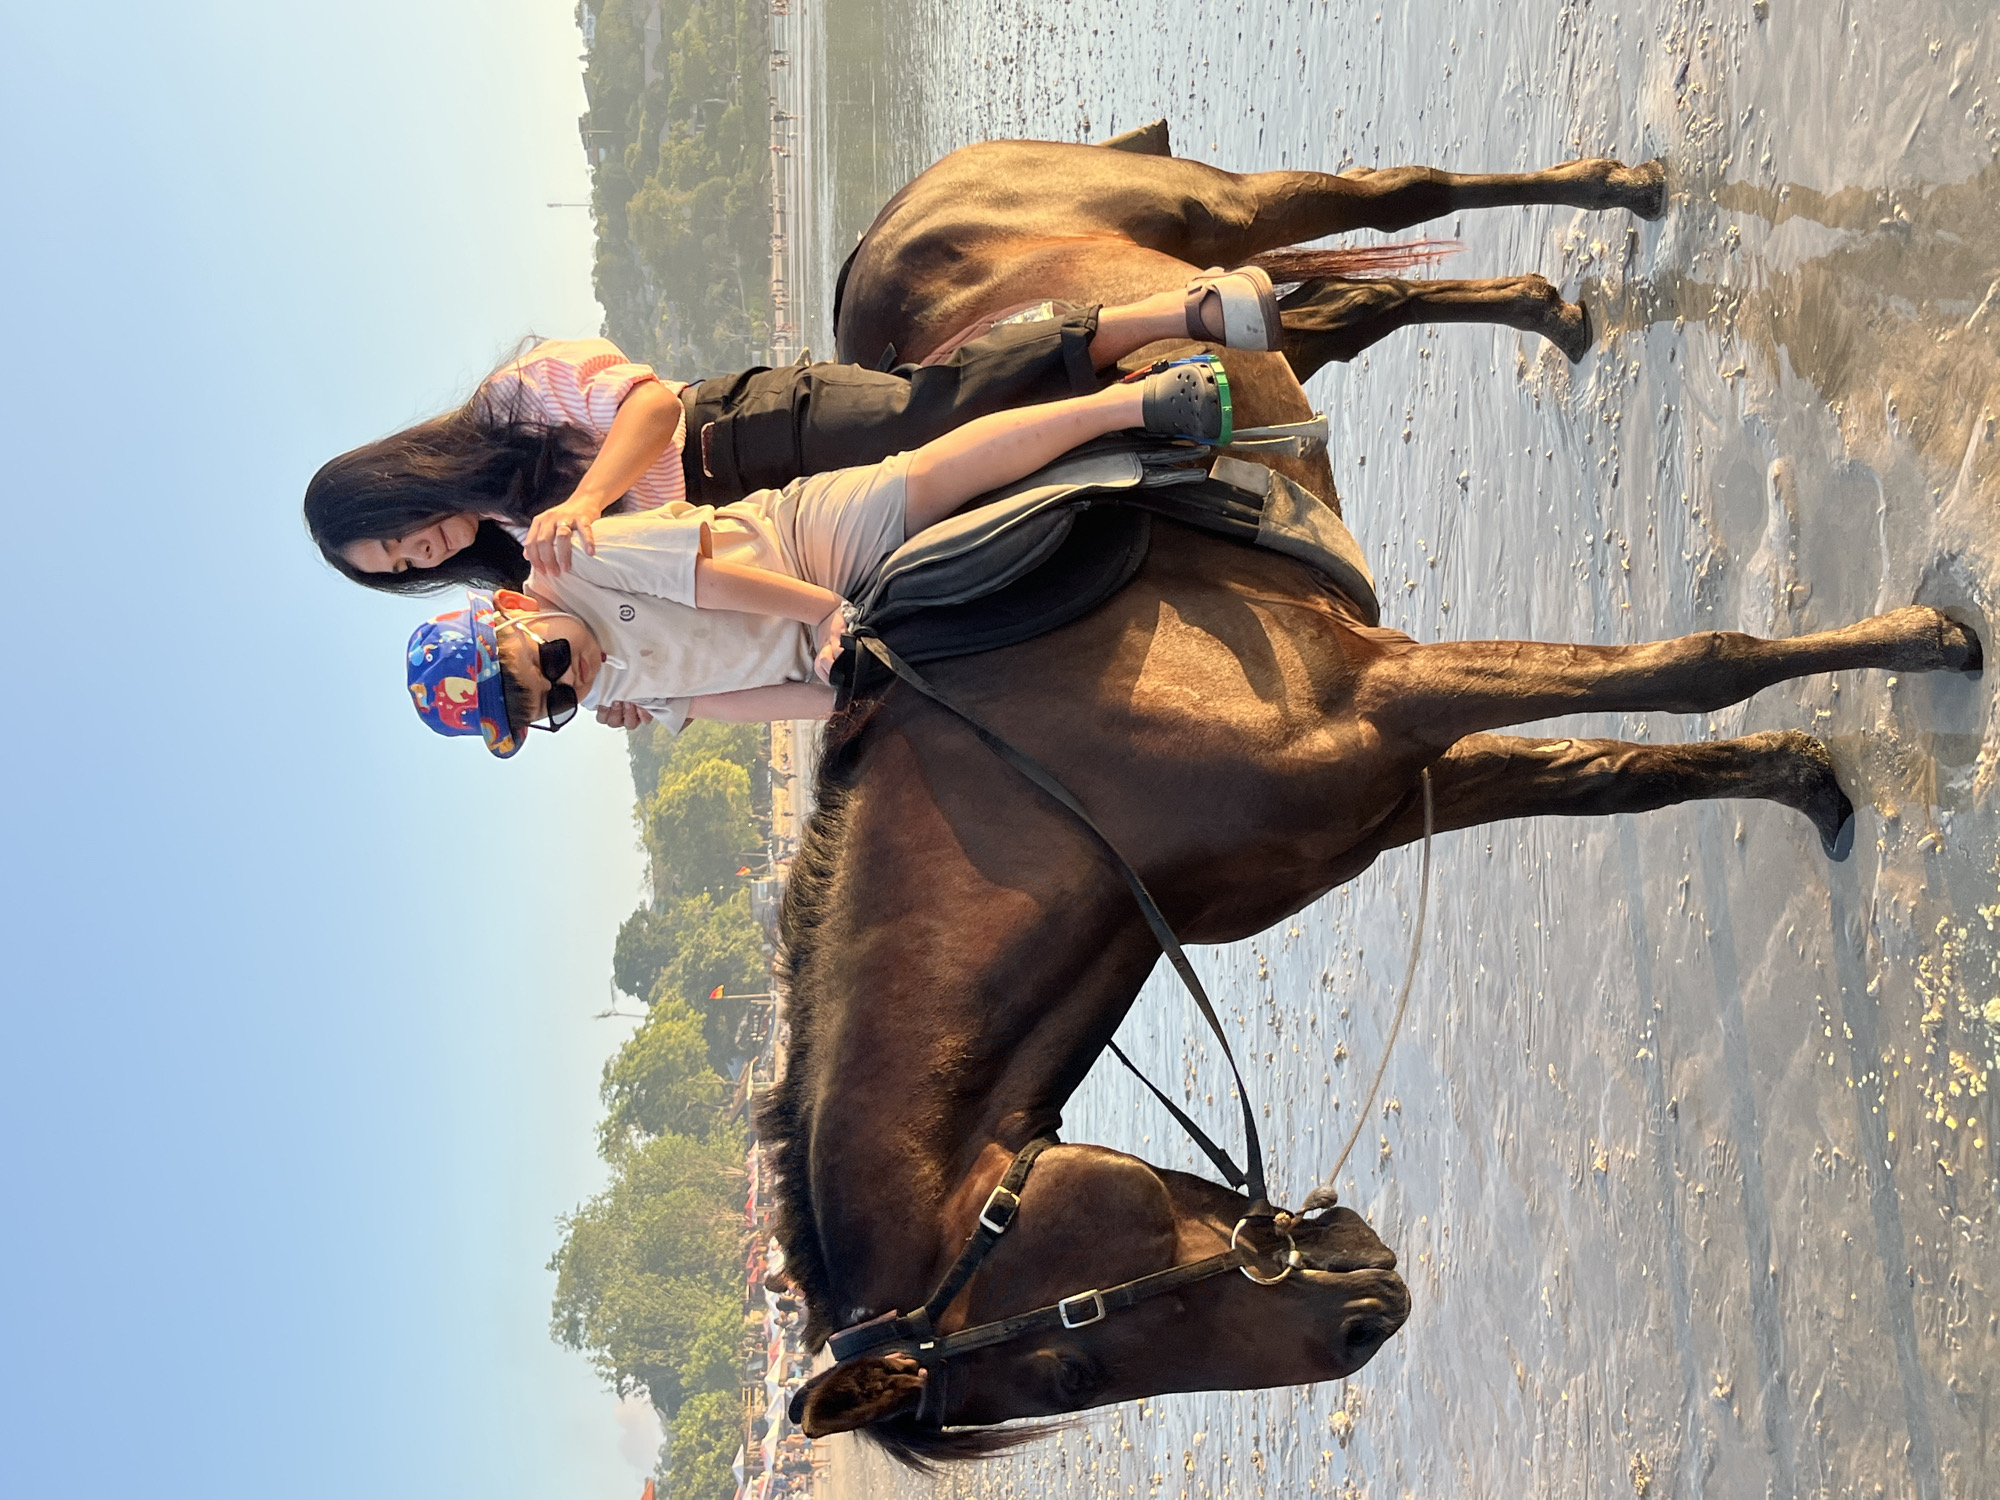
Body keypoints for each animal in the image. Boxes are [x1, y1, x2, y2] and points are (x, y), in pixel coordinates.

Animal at [760, 132, 1983, 1467]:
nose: (1358, 1330)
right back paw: (1547, 311)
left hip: (1222, 213)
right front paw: (1805, 780)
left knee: (1399, 200)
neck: (1053, 785)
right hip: (1281, 331)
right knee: (1355, 309)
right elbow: (1618, 776)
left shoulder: (1388, 695)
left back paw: (1617, 193)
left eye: (1068, 1361)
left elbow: (1685, 668)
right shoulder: (1398, 786)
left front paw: (1926, 642)